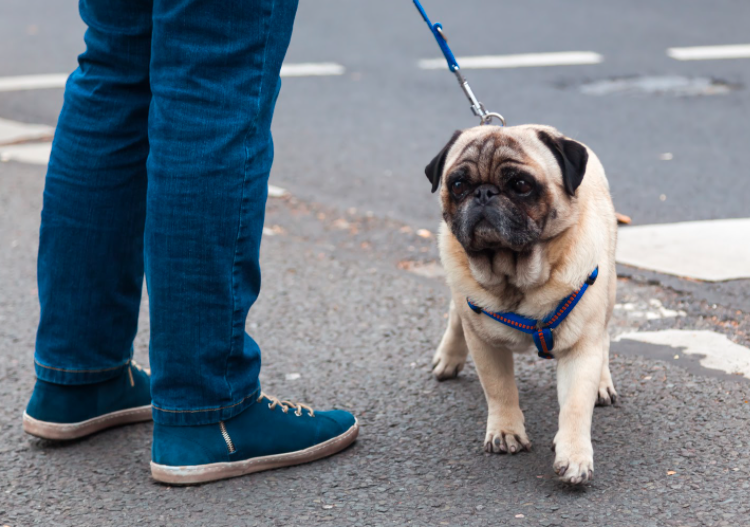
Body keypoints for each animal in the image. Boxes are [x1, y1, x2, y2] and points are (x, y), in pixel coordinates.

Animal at [426, 125, 620, 486]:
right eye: (458, 185)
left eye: (521, 185)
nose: (484, 193)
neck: (516, 280)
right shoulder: (484, 342)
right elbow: (499, 388)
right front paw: (505, 431)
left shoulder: (580, 348)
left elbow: (575, 405)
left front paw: (574, 455)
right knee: (456, 314)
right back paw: (448, 357)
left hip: (608, 290)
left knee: (603, 337)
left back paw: (603, 383)